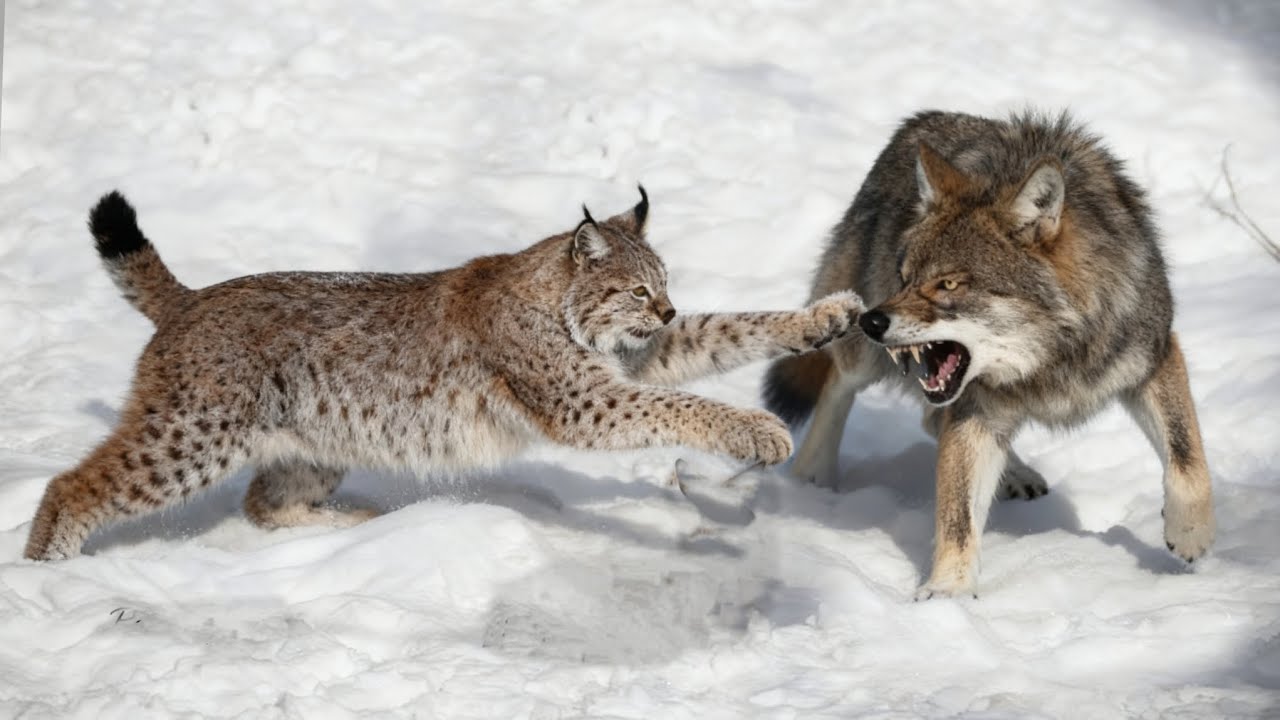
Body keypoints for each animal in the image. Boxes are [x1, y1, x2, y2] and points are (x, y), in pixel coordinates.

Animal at [25, 188, 862, 560]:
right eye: (634, 289)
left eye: (662, 288)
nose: (663, 309)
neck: (556, 297)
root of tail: (196, 297)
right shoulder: (582, 396)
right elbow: (680, 404)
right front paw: (754, 431)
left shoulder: (630, 357)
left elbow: (726, 329)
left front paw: (824, 317)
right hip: (193, 435)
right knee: (73, 486)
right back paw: (48, 577)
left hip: (319, 438)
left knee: (264, 503)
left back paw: (356, 527)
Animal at [764, 110, 1215, 599]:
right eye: (906, 277)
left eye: (948, 284)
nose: (872, 321)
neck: (1050, 362)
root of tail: (920, 121)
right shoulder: (973, 408)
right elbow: (957, 517)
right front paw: (947, 595)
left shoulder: (1155, 356)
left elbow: (1187, 459)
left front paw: (1191, 533)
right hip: (865, 359)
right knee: (838, 386)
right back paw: (812, 478)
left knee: (930, 418)